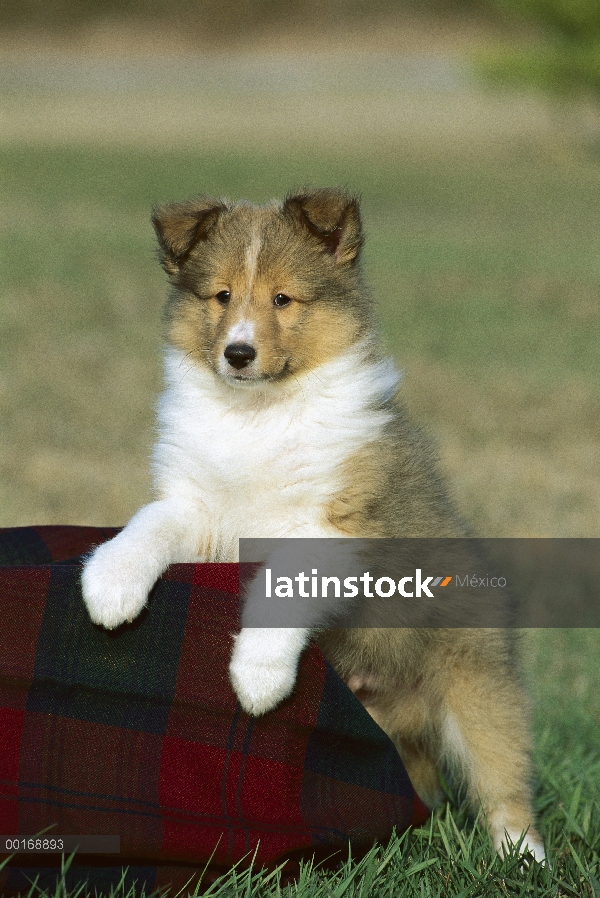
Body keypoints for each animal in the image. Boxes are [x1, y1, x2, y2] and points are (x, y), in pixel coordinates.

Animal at [82, 187, 548, 860]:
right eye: (221, 295)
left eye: (283, 299)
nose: (238, 354)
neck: (257, 415)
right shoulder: (195, 505)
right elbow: (148, 527)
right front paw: (110, 588)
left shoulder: (335, 530)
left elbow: (279, 591)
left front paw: (257, 679)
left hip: (476, 685)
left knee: (504, 780)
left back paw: (522, 859)